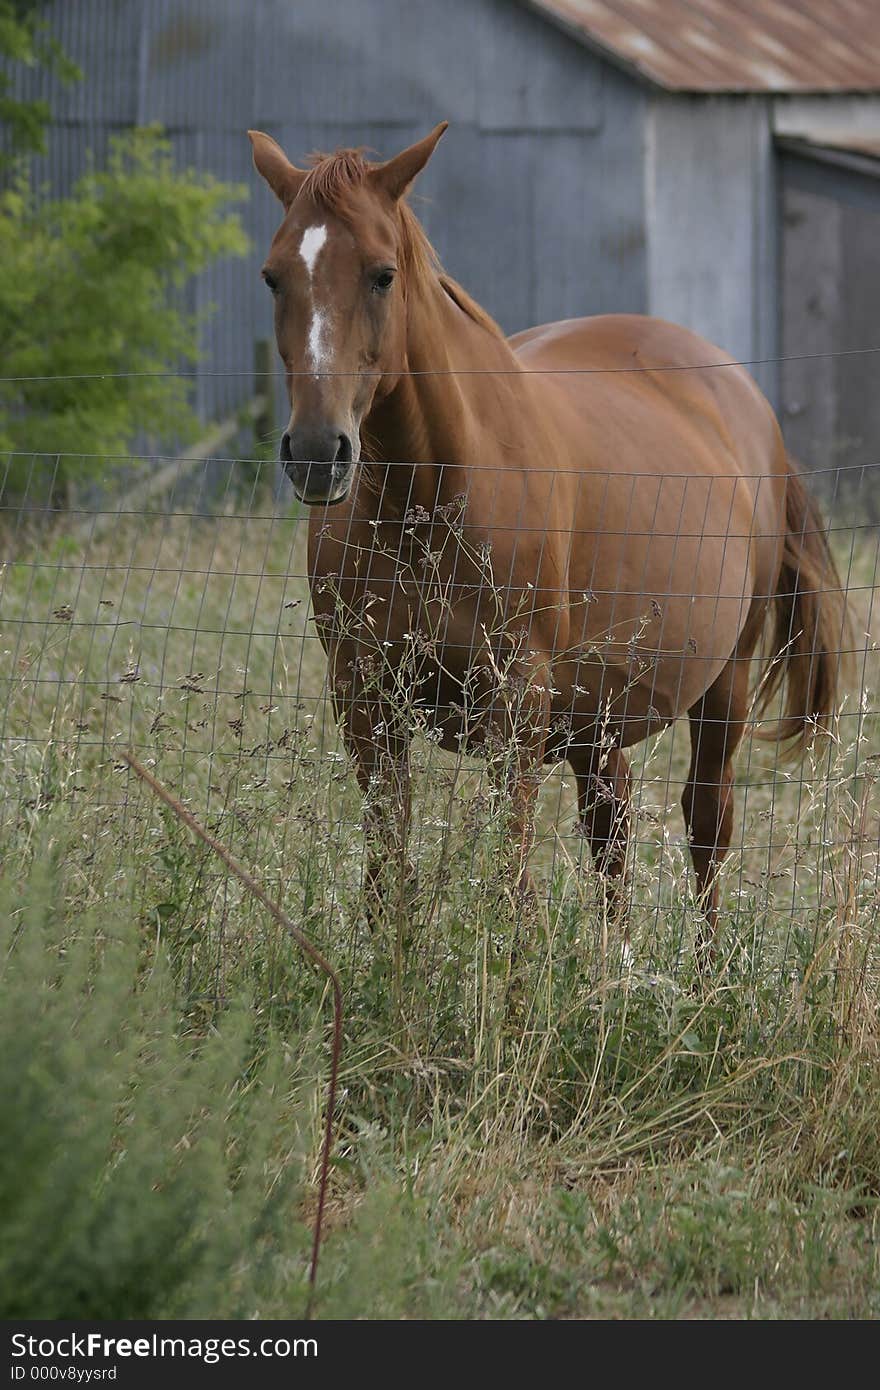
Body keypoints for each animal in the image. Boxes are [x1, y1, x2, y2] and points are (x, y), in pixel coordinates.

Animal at [247, 122, 845, 945]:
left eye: (381, 275)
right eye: (274, 278)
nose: (315, 452)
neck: (429, 500)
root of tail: (742, 397)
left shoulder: (517, 708)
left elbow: (511, 888)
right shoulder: (366, 702)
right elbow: (387, 876)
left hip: (724, 682)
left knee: (706, 827)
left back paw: (705, 972)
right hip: (596, 718)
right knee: (611, 828)